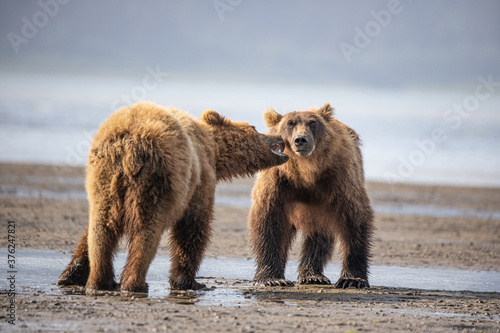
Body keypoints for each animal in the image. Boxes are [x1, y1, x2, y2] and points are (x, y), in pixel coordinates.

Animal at [57, 100, 290, 292]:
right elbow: (192, 228)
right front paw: (190, 281)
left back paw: (99, 281)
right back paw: (135, 283)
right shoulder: (199, 179)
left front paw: (72, 274)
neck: (214, 151)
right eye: (254, 127)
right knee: (146, 231)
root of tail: (129, 146)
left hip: (103, 178)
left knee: (100, 228)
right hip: (156, 180)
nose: (279, 136)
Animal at [248, 103, 374, 288]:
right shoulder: (277, 180)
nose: (301, 139)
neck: (305, 172)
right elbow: (268, 220)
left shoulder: (340, 177)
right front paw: (272, 278)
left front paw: (352, 279)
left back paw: (313, 275)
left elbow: (354, 218)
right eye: (290, 123)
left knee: (320, 233)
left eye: (313, 123)